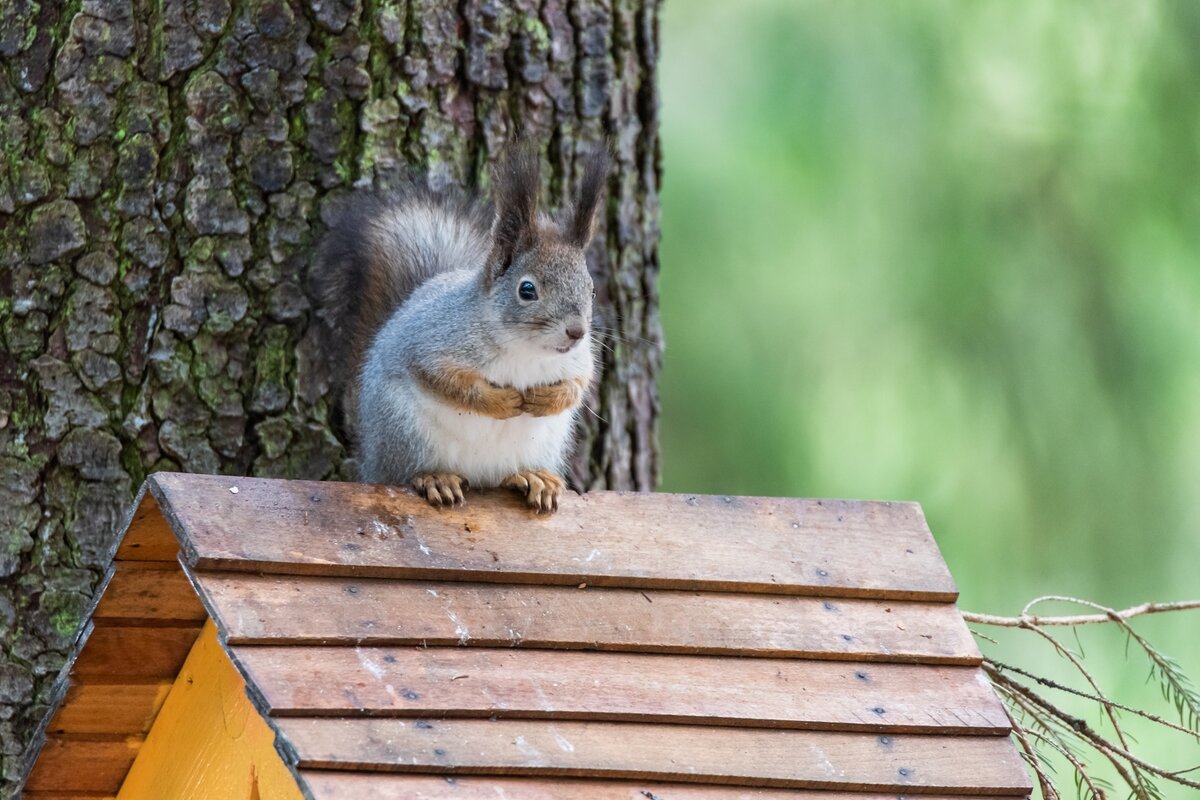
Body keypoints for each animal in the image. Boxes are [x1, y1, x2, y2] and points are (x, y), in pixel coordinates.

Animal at [312, 145, 609, 513]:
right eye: (527, 290)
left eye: (591, 290)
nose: (576, 332)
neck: (526, 351)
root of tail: (371, 459)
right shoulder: (432, 344)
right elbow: (447, 382)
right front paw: (503, 401)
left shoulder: (578, 361)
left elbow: (579, 385)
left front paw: (547, 399)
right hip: (405, 433)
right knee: (407, 472)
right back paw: (434, 478)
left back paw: (532, 476)